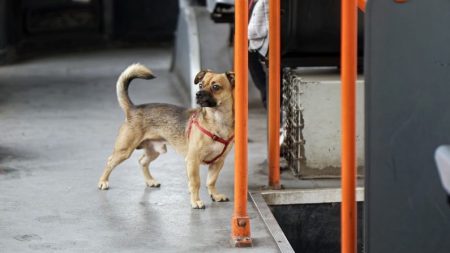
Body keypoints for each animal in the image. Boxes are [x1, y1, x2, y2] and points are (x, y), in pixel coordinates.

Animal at [98, 63, 236, 210]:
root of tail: (133, 108)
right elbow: (196, 182)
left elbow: (211, 181)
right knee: (110, 161)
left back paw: (150, 181)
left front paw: (215, 195)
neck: (217, 120)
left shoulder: (218, 162)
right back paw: (103, 181)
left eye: (216, 87)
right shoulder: (192, 161)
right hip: (124, 151)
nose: (198, 94)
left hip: (154, 151)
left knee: (142, 161)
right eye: (200, 85)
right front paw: (196, 201)